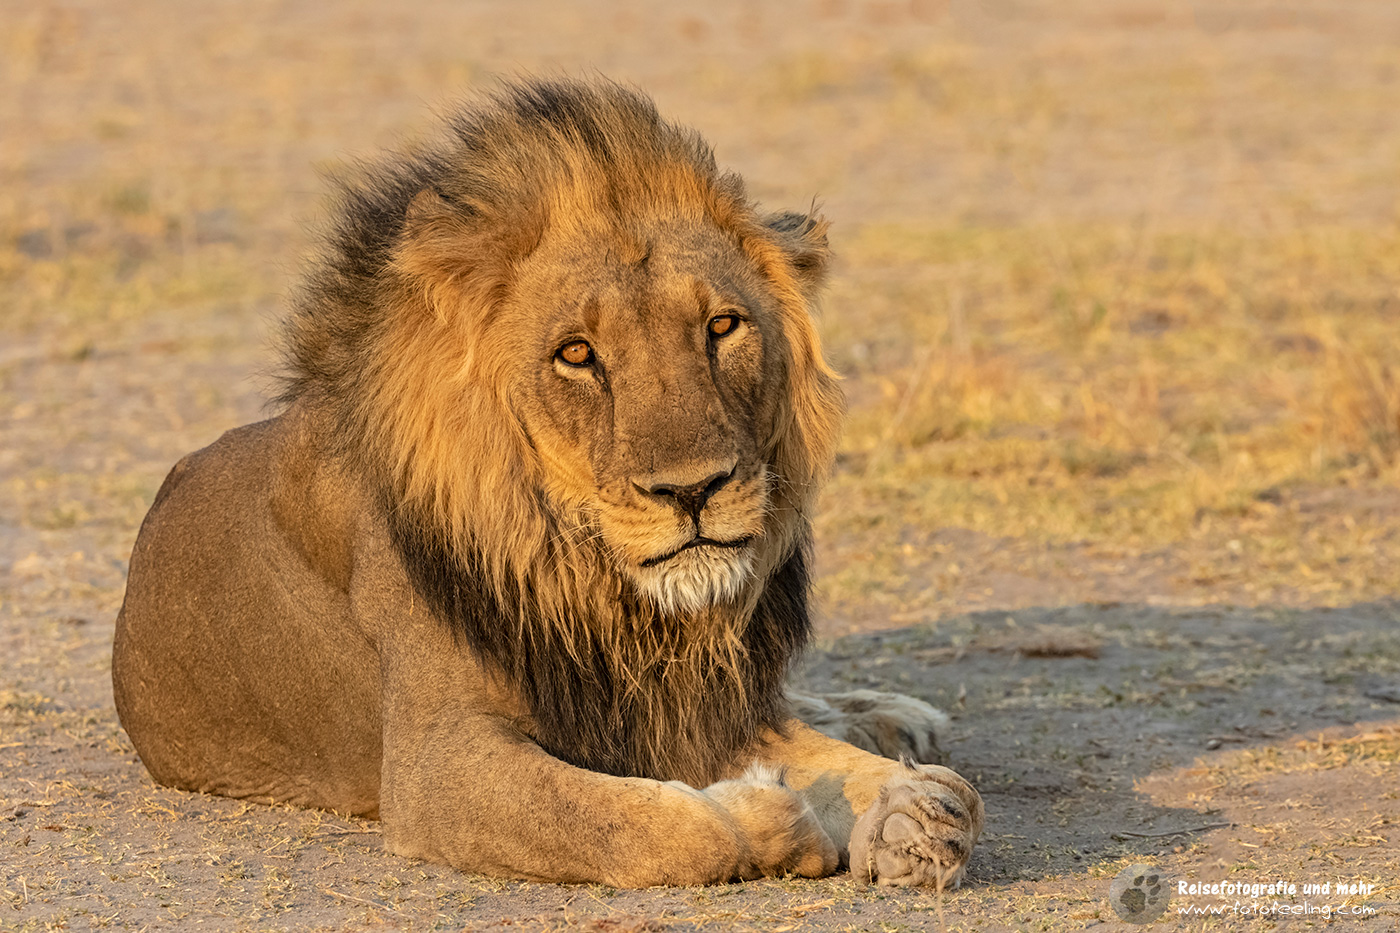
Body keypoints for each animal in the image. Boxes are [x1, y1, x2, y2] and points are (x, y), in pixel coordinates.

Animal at [111, 77, 983, 888]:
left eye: (722, 326)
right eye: (576, 354)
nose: (693, 490)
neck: (606, 593)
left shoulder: (697, 705)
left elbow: (867, 768)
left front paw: (910, 812)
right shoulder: (435, 763)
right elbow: (644, 825)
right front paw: (770, 814)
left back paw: (890, 717)